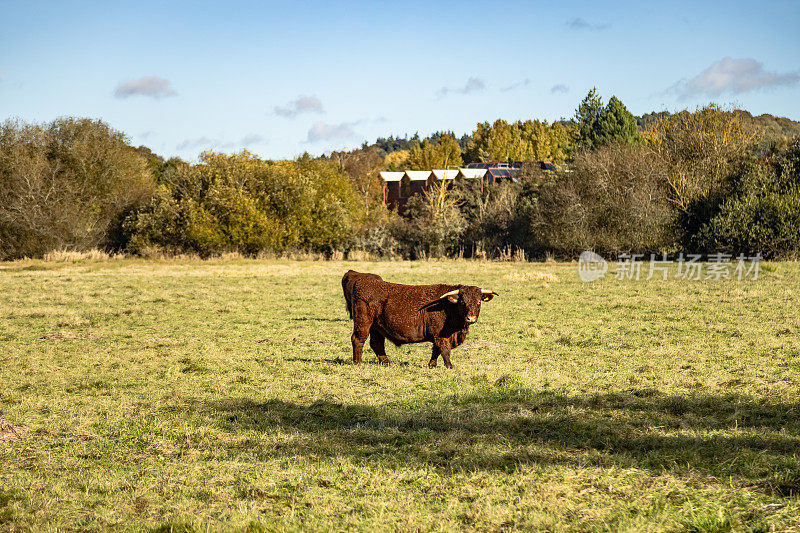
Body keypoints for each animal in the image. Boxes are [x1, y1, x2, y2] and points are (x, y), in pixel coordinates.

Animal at [340, 272, 496, 368]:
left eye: (478, 302)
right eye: (462, 302)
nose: (471, 317)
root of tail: (361, 281)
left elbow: (436, 351)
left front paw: (432, 365)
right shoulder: (440, 334)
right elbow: (444, 350)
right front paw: (449, 366)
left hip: (376, 327)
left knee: (376, 344)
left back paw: (387, 363)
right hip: (363, 323)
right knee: (358, 339)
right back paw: (358, 362)